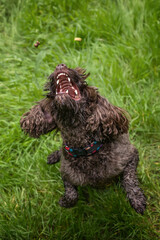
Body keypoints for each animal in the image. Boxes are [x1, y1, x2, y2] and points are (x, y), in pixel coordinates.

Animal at [20, 63, 146, 214]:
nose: (60, 65)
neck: (84, 150)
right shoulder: (66, 174)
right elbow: (72, 194)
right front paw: (64, 201)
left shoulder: (131, 156)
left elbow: (129, 179)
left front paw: (137, 199)